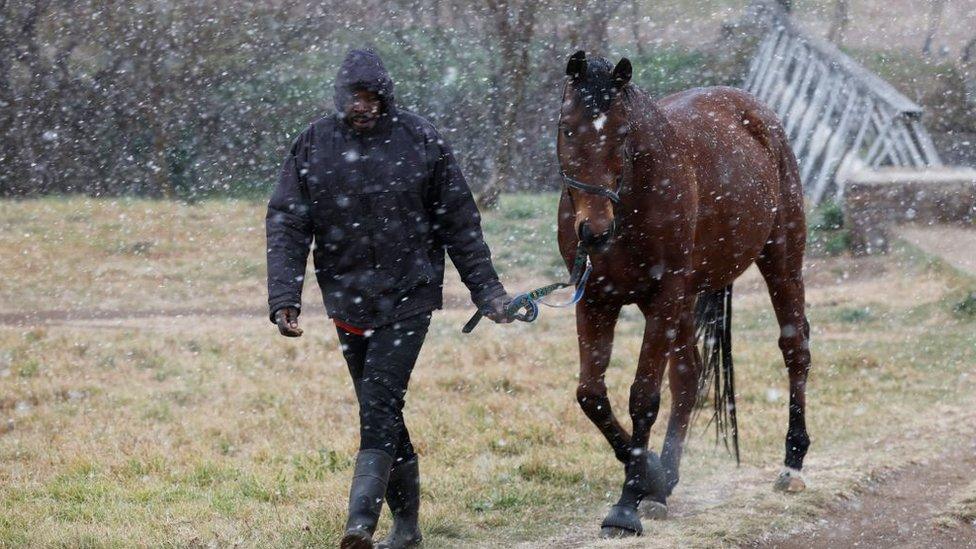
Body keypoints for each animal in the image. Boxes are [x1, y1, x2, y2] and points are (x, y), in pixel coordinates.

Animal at [552, 49, 812, 536]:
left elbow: (642, 398)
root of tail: (756, 112)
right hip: (686, 301)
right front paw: (651, 477)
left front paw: (626, 506)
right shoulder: (596, 300)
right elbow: (591, 394)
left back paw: (792, 464)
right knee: (689, 374)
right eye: (567, 127)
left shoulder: (663, 298)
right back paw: (665, 481)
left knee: (795, 348)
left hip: (780, 262)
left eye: (622, 133)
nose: (594, 231)